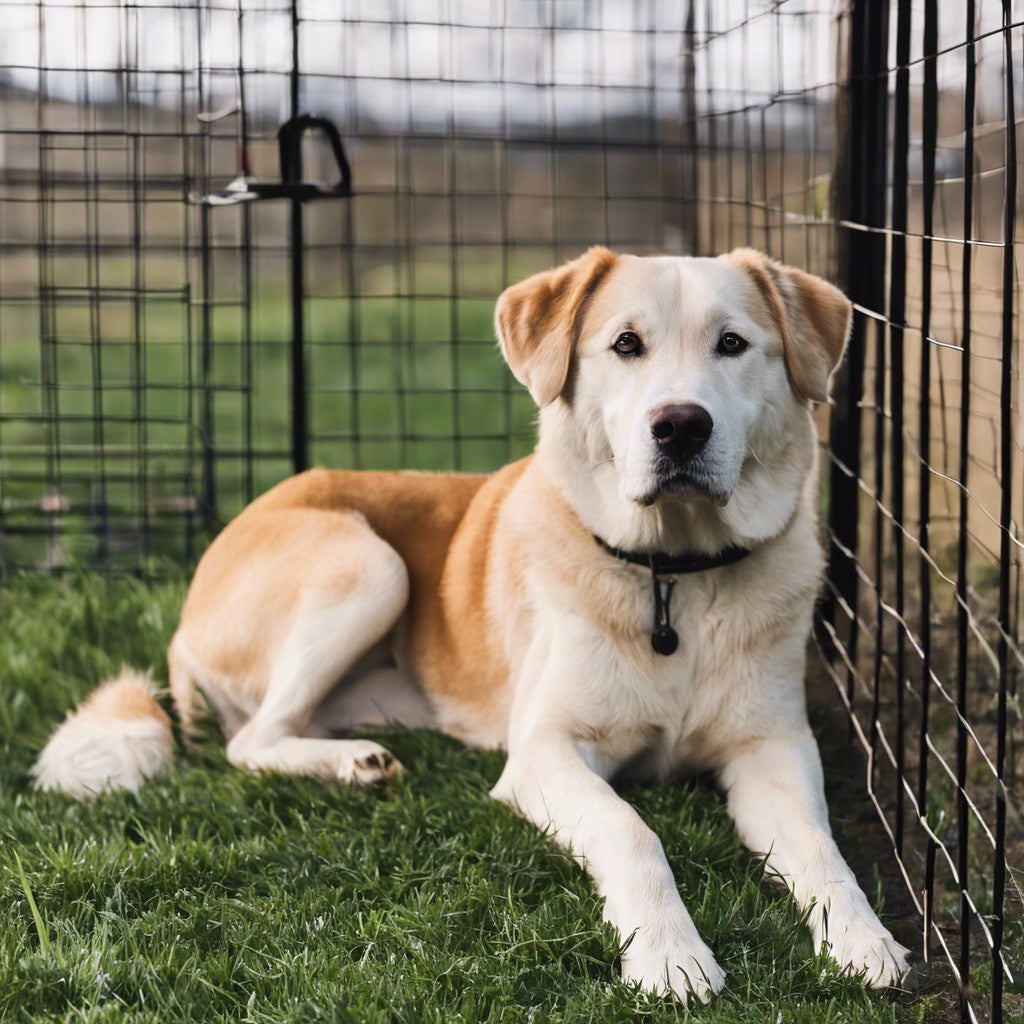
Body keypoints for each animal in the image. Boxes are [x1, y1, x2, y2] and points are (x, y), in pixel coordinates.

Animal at [34, 245, 913, 999]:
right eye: (625, 345)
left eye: (733, 344)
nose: (681, 425)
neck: (672, 579)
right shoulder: (546, 752)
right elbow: (633, 831)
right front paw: (670, 954)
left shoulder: (773, 746)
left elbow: (820, 847)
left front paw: (863, 939)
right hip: (368, 565)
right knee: (250, 740)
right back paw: (353, 764)